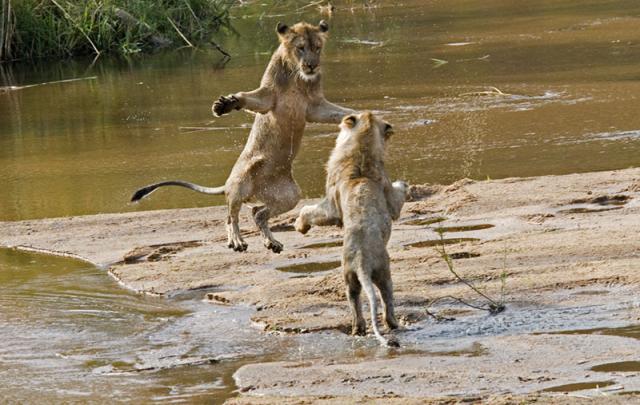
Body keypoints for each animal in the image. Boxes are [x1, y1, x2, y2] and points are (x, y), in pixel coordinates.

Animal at [131, 20, 355, 253]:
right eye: (300, 48)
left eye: (317, 48)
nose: (311, 65)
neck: (298, 78)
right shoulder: (268, 97)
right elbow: (246, 98)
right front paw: (224, 105)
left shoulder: (314, 107)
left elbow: (341, 112)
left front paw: (359, 118)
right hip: (241, 181)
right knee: (231, 216)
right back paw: (237, 241)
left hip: (290, 195)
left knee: (257, 213)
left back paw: (272, 242)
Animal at [295, 112, 408, 347]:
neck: (361, 152)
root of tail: (362, 260)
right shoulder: (386, 200)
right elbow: (308, 210)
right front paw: (299, 226)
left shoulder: (331, 205)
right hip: (384, 273)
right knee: (387, 303)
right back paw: (394, 325)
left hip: (349, 277)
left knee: (355, 305)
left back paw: (358, 330)